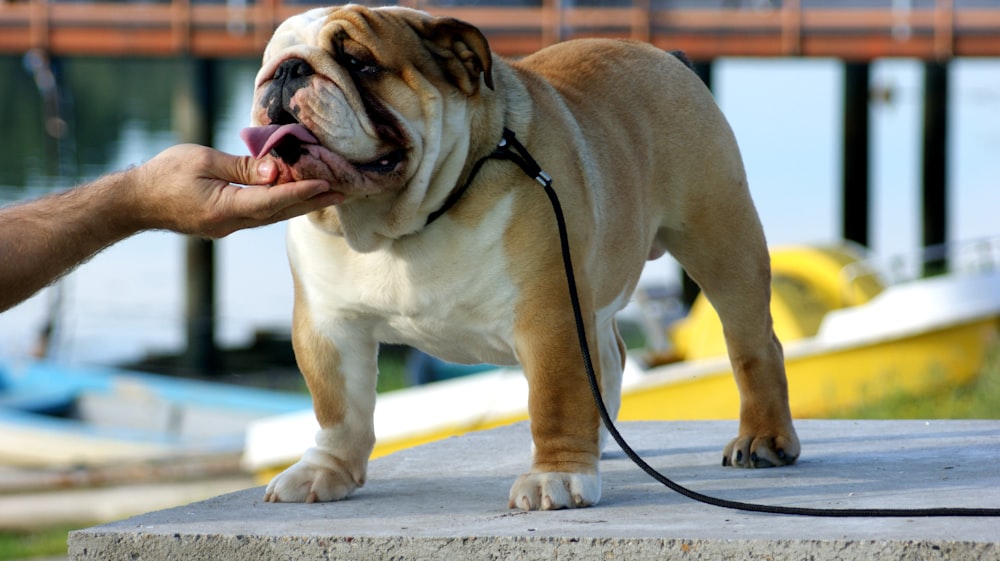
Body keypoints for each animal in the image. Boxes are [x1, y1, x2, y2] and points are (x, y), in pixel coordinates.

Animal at [240, 4, 796, 510]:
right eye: (270, 62)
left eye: (358, 62)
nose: (288, 70)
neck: (402, 222)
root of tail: (671, 59)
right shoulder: (327, 326)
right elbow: (337, 409)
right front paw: (323, 472)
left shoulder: (550, 316)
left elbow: (554, 399)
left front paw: (557, 477)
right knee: (609, 354)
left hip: (721, 242)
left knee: (753, 344)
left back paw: (764, 439)